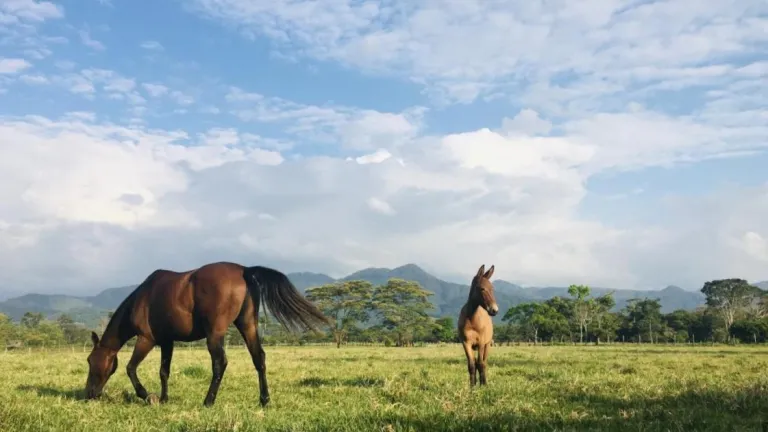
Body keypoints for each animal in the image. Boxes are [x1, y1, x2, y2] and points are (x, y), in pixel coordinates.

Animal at [84, 261, 330, 407]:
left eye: (90, 361)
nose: (88, 393)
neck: (143, 297)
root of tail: (244, 270)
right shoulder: (167, 341)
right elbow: (164, 371)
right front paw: (164, 398)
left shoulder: (147, 339)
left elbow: (130, 368)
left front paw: (148, 396)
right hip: (248, 325)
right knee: (259, 358)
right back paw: (264, 400)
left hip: (215, 334)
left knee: (220, 363)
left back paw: (208, 401)